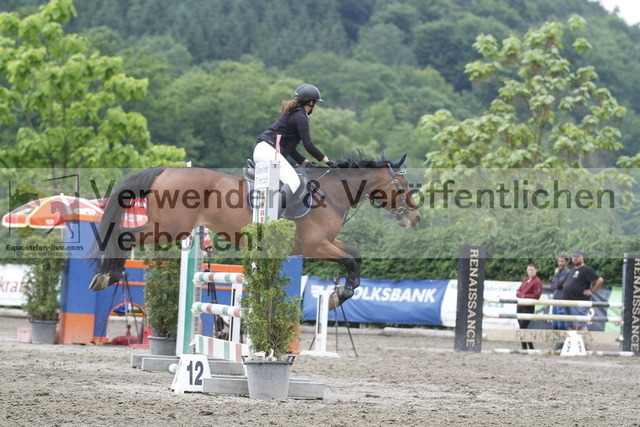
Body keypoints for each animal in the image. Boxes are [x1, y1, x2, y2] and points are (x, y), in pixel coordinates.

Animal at [89, 154, 421, 309]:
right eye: (403, 187)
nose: (416, 219)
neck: (331, 193)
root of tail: (165, 171)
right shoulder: (316, 245)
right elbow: (351, 259)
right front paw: (339, 296)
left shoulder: (328, 242)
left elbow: (355, 255)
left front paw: (341, 294)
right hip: (170, 228)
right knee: (124, 236)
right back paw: (107, 275)